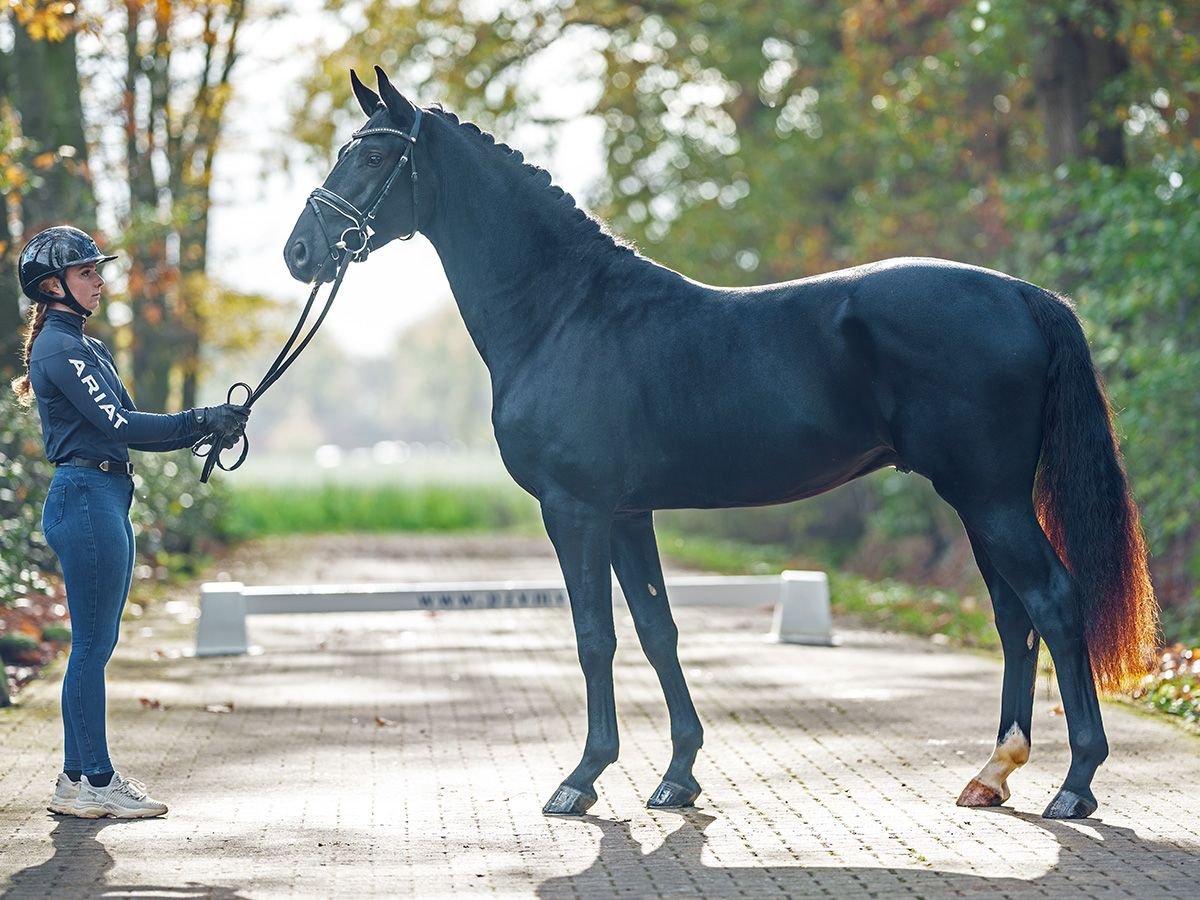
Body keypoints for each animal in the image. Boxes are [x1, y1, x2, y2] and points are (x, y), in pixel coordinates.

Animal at [285, 66, 1156, 820]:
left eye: (373, 154)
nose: (298, 253)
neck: (564, 311)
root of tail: (1024, 294)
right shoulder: (626, 515)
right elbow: (656, 630)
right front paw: (677, 775)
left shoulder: (575, 511)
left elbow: (595, 637)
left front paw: (581, 778)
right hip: (980, 502)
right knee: (1015, 618)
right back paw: (992, 773)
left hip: (990, 497)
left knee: (1055, 601)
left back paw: (1075, 784)